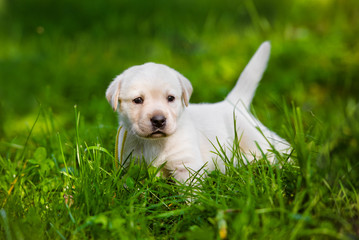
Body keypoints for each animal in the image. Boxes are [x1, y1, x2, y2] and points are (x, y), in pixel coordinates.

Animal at [105, 41, 292, 184]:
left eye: (170, 98)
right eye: (137, 100)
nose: (158, 120)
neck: (154, 143)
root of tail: (231, 102)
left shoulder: (187, 165)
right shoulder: (129, 162)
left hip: (253, 136)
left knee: (278, 148)